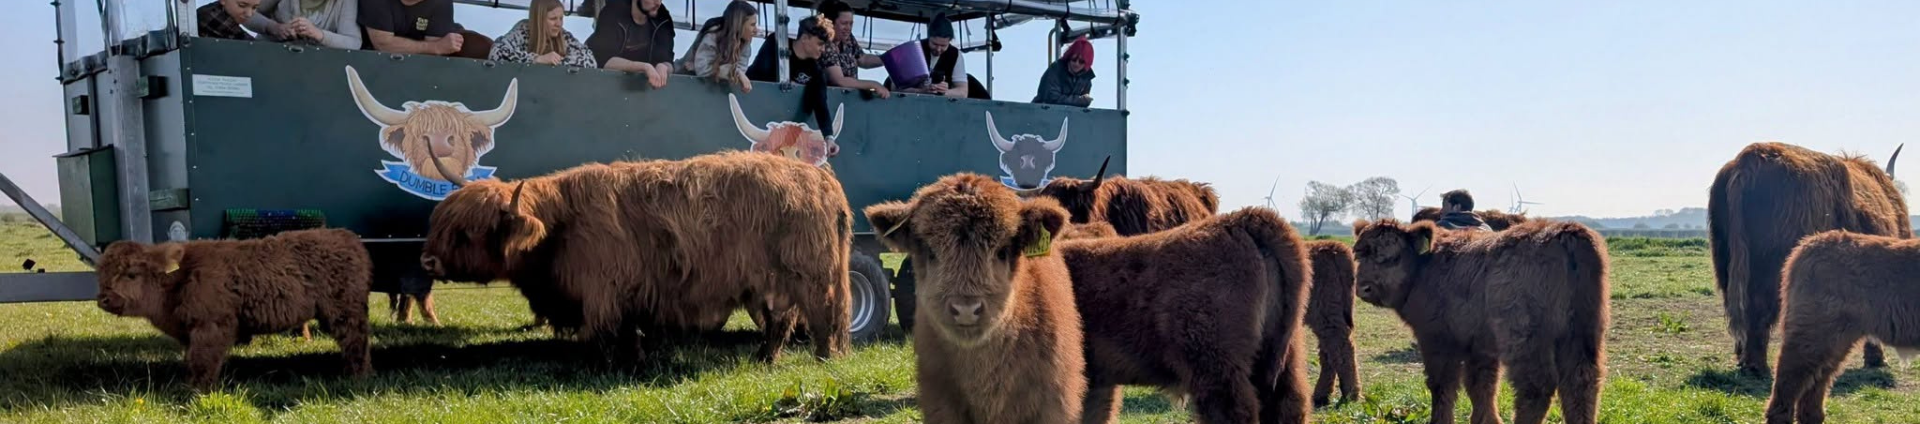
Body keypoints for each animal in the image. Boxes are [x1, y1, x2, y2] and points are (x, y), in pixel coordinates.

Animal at [93, 228, 374, 391]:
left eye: (131, 274)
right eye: (101, 273)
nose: (104, 299)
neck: (180, 280)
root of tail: (347, 237)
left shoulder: (213, 326)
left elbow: (203, 361)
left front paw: (197, 390)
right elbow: (191, 360)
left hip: (344, 310)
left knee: (356, 341)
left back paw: (356, 377)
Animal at [418, 151, 853, 365]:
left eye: (468, 231)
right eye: (438, 222)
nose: (427, 261)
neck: (561, 224)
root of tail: (822, 178)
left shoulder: (604, 291)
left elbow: (603, 333)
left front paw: (605, 366)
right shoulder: (627, 293)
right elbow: (628, 332)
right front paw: (635, 359)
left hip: (810, 275)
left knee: (822, 315)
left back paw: (823, 357)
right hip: (772, 282)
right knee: (780, 321)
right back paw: (765, 358)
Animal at [1306, 239, 1362, 407]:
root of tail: (1335, 246)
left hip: (1325, 311)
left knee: (1340, 346)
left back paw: (1350, 395)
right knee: (1328, 351)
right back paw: (1321, 396)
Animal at [1351, 219, 1610, 424]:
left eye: (1391, 258)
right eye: (1359, 254)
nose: (1363, 288)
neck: (1424, 269)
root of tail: (1567, 232)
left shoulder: (1436, 338)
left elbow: (1442, 385)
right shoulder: (1479, 345)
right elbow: (1481, 386)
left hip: (1523, 336)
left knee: (1536, 386)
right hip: (1583, 332)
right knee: (1582, 383)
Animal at [1708, 141, 1907, 374]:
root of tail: (1748, 160)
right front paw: (1875, 359)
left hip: (1726, 259)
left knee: (1739, 306)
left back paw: (1744, 359)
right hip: (1771, 268)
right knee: (1759, 307)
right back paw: (1757, 366)